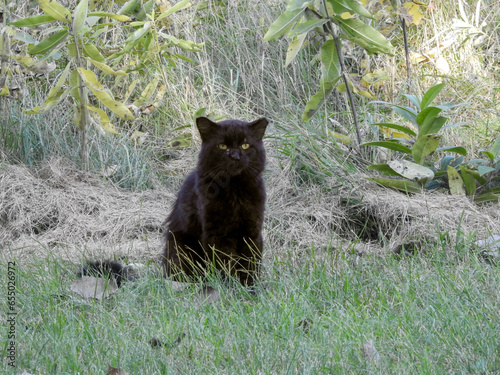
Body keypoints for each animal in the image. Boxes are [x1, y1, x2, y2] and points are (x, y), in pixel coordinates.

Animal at [162, 116, 268, 286]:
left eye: (245, 145)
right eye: (222, 146)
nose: (235, 156)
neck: (234, 190)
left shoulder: (251, 231)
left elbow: (249, 264)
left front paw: (249, 287)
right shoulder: (218, 235)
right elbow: (225, 264)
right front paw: (229, 287)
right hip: (180, 247)